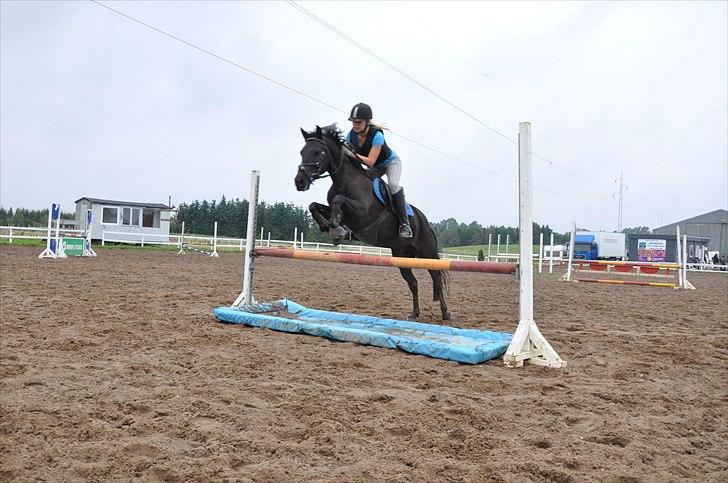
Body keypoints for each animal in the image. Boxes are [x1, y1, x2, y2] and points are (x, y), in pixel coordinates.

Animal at [292, 125, 450, 322]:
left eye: (317, 152)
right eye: (301, 152)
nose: (299, 181)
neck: (345, 180)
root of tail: (426, 223)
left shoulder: (361, 214)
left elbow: (339, 199)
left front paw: (336, 228)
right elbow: (314, 205)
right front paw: (331, 228)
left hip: (427, 253)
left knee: (437, 278)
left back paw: (445, 313)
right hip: (401, 254)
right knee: (413, 282)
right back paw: (414, 313)